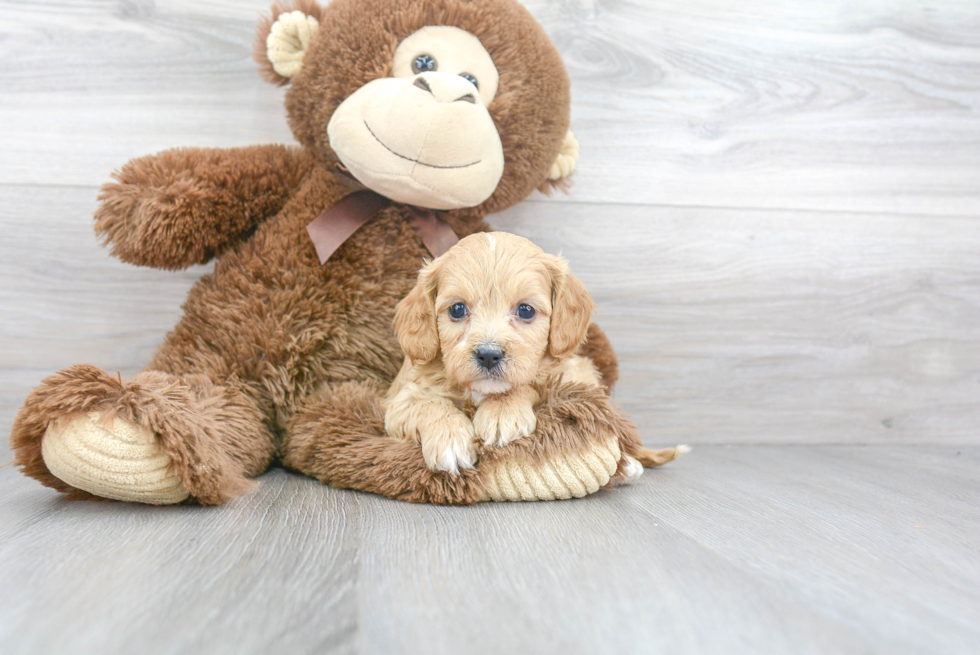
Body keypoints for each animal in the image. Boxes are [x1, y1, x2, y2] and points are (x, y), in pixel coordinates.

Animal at [386, 233, 600, 474]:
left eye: (526, 310)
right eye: (457, 309)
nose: (488, 355)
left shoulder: (576, 375)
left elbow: (529, 385)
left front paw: (502, 412)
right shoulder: (398, 401)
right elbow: (427, 403)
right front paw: (449, 439)